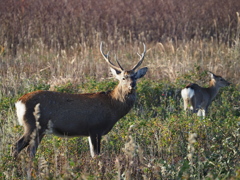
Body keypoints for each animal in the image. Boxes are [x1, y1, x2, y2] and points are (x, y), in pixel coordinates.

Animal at [13, 42, 148, 158]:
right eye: (123, 78)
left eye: (135, 77)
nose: (132, 85)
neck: (112, 106)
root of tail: (19, 102)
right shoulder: (95, 127)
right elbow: (96, 155)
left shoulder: (90, 132)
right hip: (32, 125)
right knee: (17, 146)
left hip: (39, 129)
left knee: (30, 150)